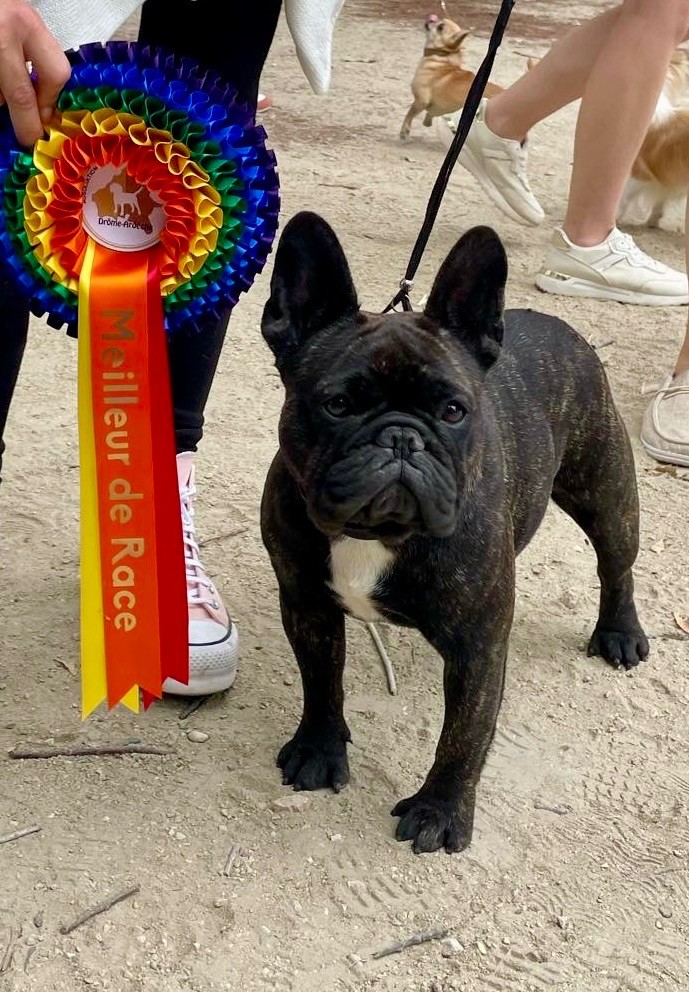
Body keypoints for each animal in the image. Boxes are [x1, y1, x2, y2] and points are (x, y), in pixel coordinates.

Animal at [260, 212, 649, 855]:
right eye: (337, 404)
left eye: (452, 411)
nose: (400, 438)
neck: (377, 535)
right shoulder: (308, 605)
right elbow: (321, 681)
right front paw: (318, 748)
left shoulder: (478, 647)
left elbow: (464, 734)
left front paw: (440, 811)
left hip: (606, 490)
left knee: (616, 563)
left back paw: (620, 633)